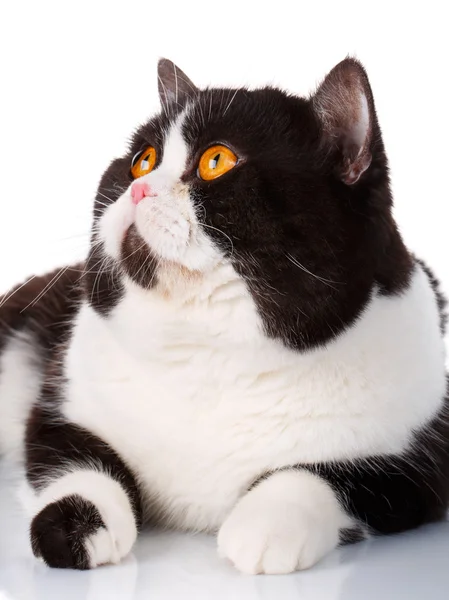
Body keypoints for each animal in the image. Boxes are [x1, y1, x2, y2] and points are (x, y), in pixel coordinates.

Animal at [0, 58, 448, 576]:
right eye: (142, 160)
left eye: (217, 162)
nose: (138, 189)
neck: (209, 352)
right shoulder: (62, 405)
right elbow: (76, 460)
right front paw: (72, 528)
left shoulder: (423, 460)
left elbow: (327, 475)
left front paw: (265, 526)